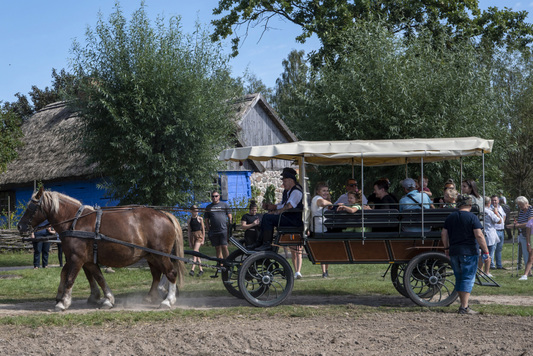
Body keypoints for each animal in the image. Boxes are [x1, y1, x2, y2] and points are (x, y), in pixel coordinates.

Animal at [17, 188, 184, 310]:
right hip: (151, 255)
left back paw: (168, 301)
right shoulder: (88, 260)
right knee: (157, 274)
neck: (75, 222)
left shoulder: (77, 258)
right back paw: (151, 297)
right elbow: (98, 277)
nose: (20, 226)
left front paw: (63, 302)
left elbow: (70, 278)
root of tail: (165, 215)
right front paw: (108, 299)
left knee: (171, 272)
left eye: (31, 207)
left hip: (161, 255)